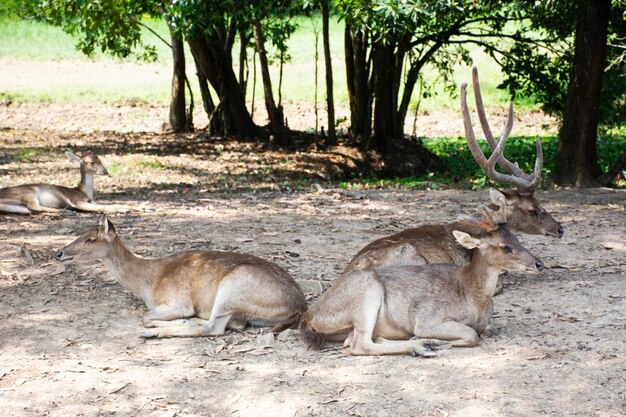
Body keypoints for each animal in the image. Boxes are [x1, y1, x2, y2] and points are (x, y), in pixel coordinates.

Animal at [0, 150, 134, 214]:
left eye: (100, 160)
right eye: (92, 163)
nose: (105, 171)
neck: (84, 192)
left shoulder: (91, 201)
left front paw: (135, 207)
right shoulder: (77, 201)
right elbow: (104, 206)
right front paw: (125, 210)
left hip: (16, 205)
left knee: (29, 210)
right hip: (28, 193)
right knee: (33, 206)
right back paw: (67, 212)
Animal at [55, 216, 308, 336]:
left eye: (90, 239)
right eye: (81, 233)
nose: (59, 253)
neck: (149, 283)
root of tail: (299, 308)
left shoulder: (179, 300)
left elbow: (146, 316)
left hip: (234, 285)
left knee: (214, 328)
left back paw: (154, 333)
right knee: (234, 324)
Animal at [302, 197, 540, 356]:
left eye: (517, 239)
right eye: (505, 246)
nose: (540, 263)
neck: (473, 298)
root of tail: (308, 317)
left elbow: (487, 330)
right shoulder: (428, 319)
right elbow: (471, 335)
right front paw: (430, 339)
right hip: (368, 293)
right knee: (360, 345)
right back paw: (422, 346)